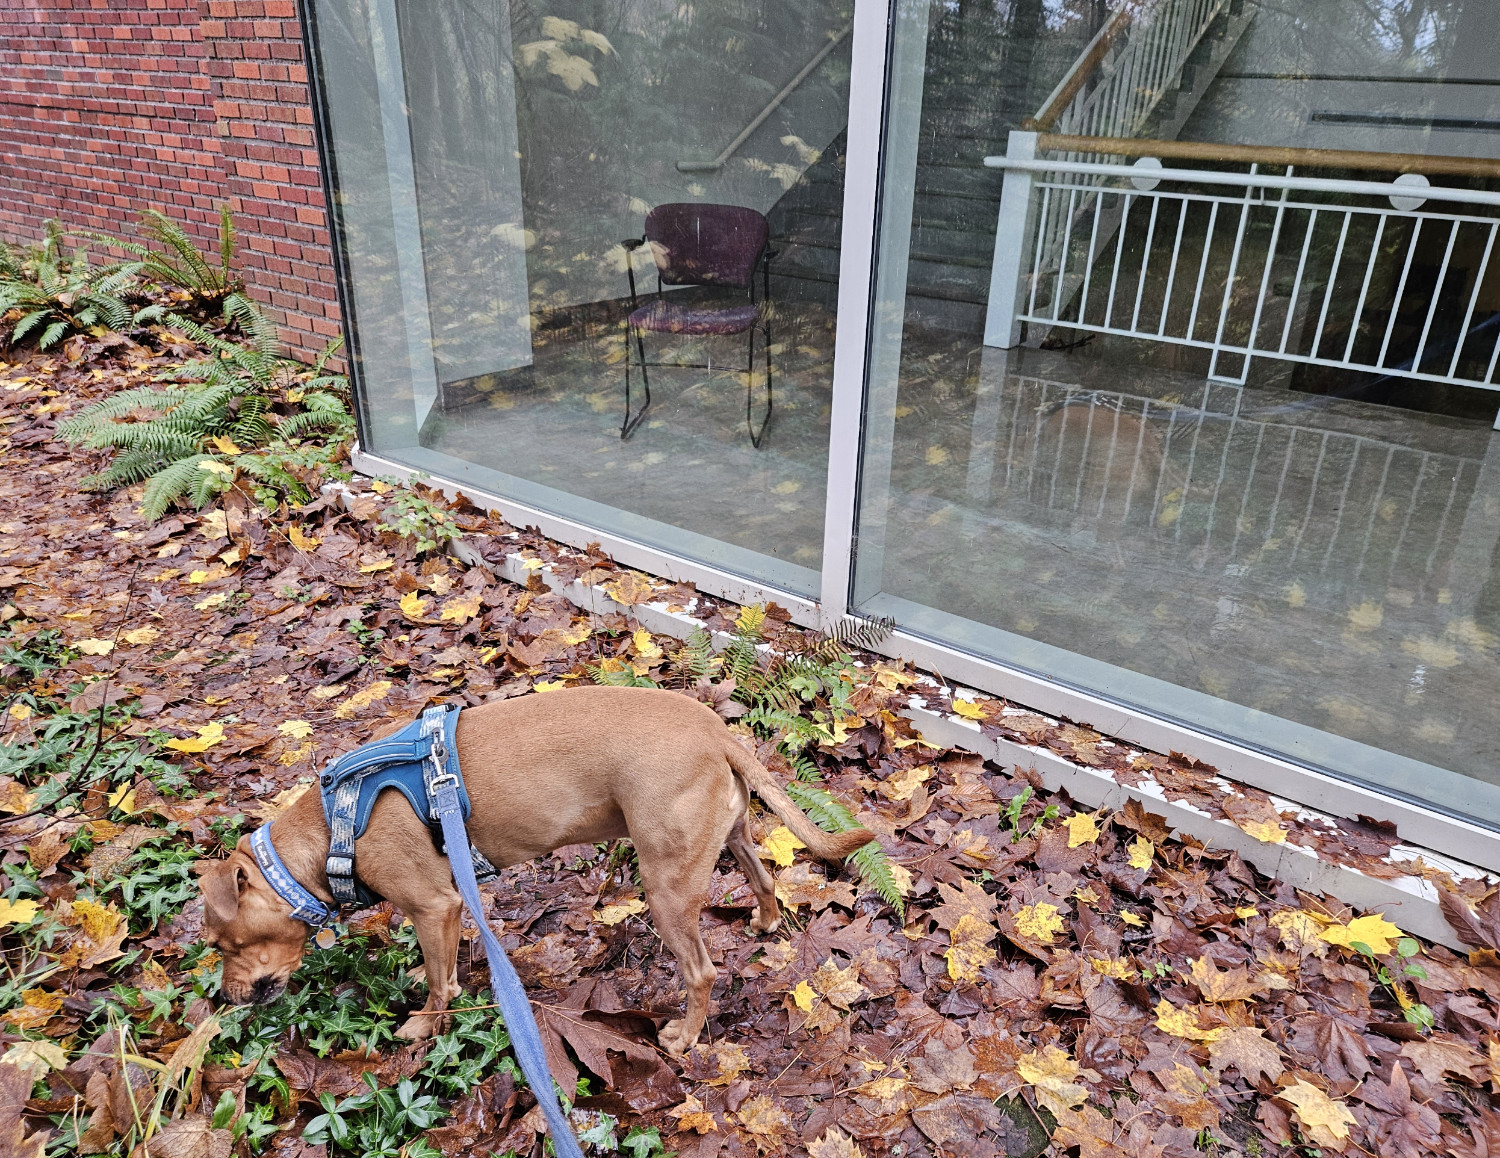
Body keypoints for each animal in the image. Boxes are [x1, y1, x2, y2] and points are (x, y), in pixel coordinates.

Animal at [195, 687, 876, 1056]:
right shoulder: (449, 907)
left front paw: (420, 1026)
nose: (223, 999)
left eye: (223, 944)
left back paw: (684, 1037)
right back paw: (763, 922)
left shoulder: (433, 905)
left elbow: (439, 986)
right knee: (764, 880)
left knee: (702, 972)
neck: (334, 826)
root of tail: (719, 733)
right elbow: (446, 966)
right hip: (729, 840)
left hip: (664, 887)